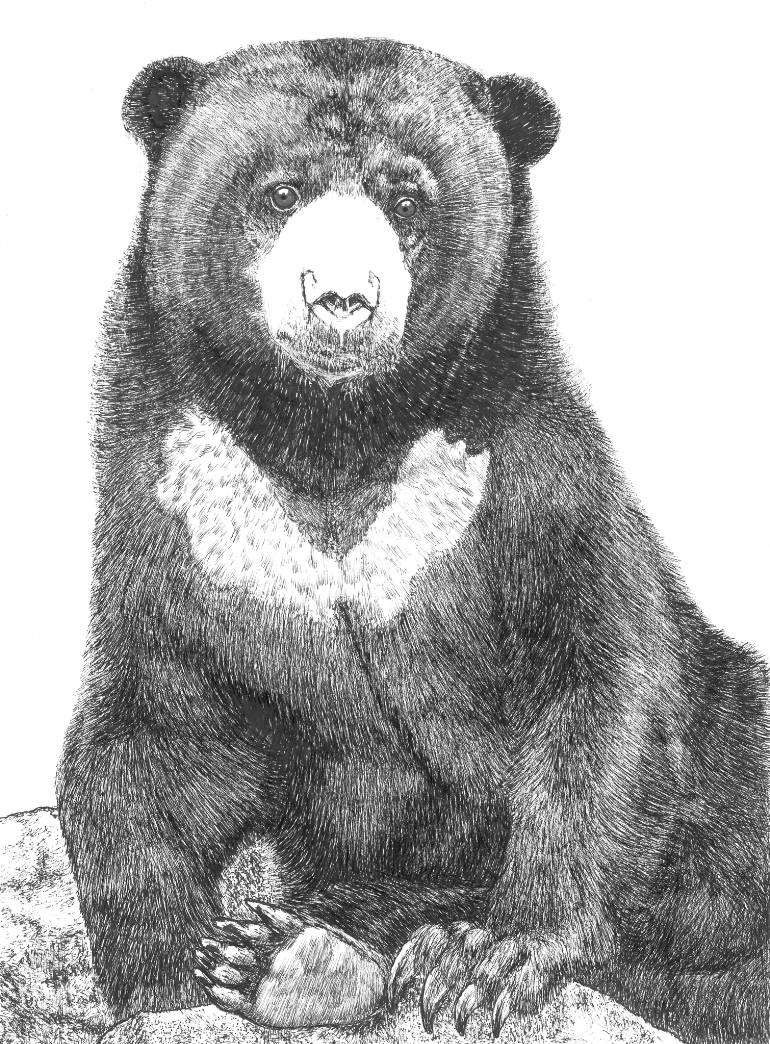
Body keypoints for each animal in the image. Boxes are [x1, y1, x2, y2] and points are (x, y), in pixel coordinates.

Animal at [56, 37, 769, 1044]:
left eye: (406, 197)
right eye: (281, 192)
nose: (343, 299)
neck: (333, 430)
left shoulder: (520, 476)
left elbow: (603, 677)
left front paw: (502, 953)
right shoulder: (185, 521)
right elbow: (154, 732)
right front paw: (173, 971)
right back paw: (291, 961)